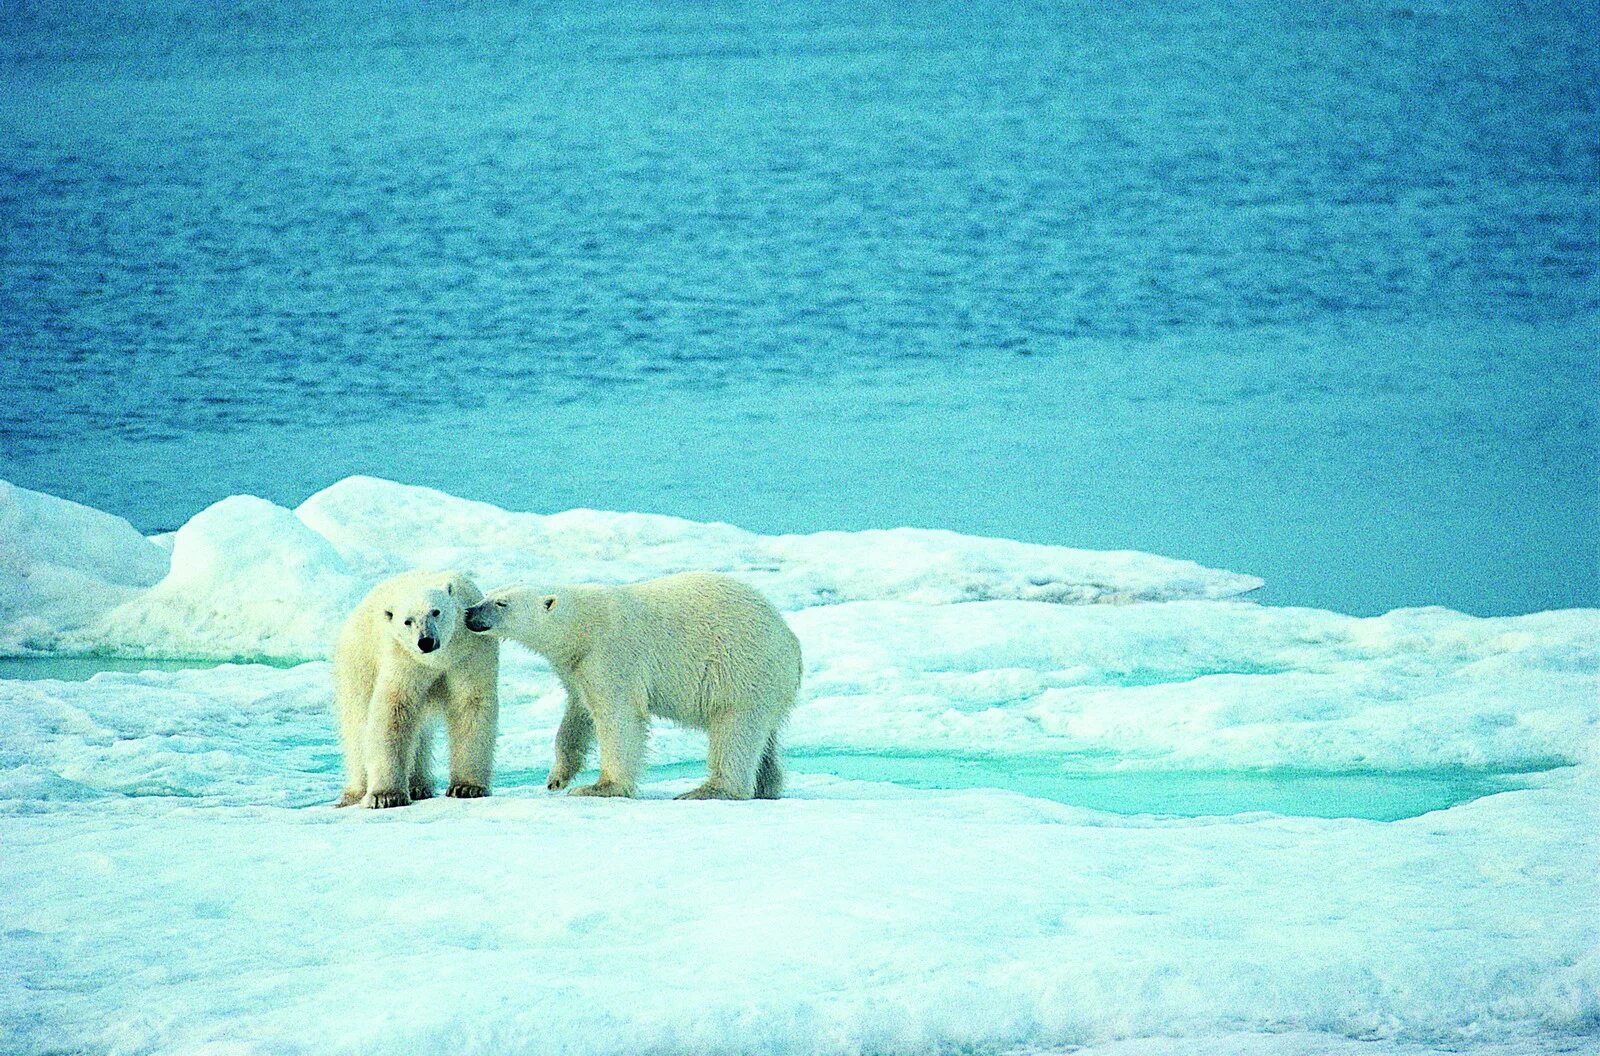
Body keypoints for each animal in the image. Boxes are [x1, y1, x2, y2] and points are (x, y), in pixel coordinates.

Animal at [340, 569, 502, 809]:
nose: (425, 641)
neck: (440, 658)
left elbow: (470, 704)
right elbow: (394, 711)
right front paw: (385, 796)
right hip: (360, 661)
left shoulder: (470, 652)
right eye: (407, 621)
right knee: (358, 725)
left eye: (436, 612)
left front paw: (467, 787)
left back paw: (418, 786)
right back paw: (356, 792)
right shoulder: (403, 659)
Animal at [467, 572, 806, 796]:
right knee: (764, 738)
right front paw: (557, 778)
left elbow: (619, 717)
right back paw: (768, 786)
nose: (469, 612)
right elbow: (578, 713)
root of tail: (791, 641)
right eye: (489, 594)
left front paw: (601, 786)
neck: (582, 625)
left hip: (742, 671)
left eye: (501, 603)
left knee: (735, 731)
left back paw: (712, 790)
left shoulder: (612, 655)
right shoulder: (577, 666)